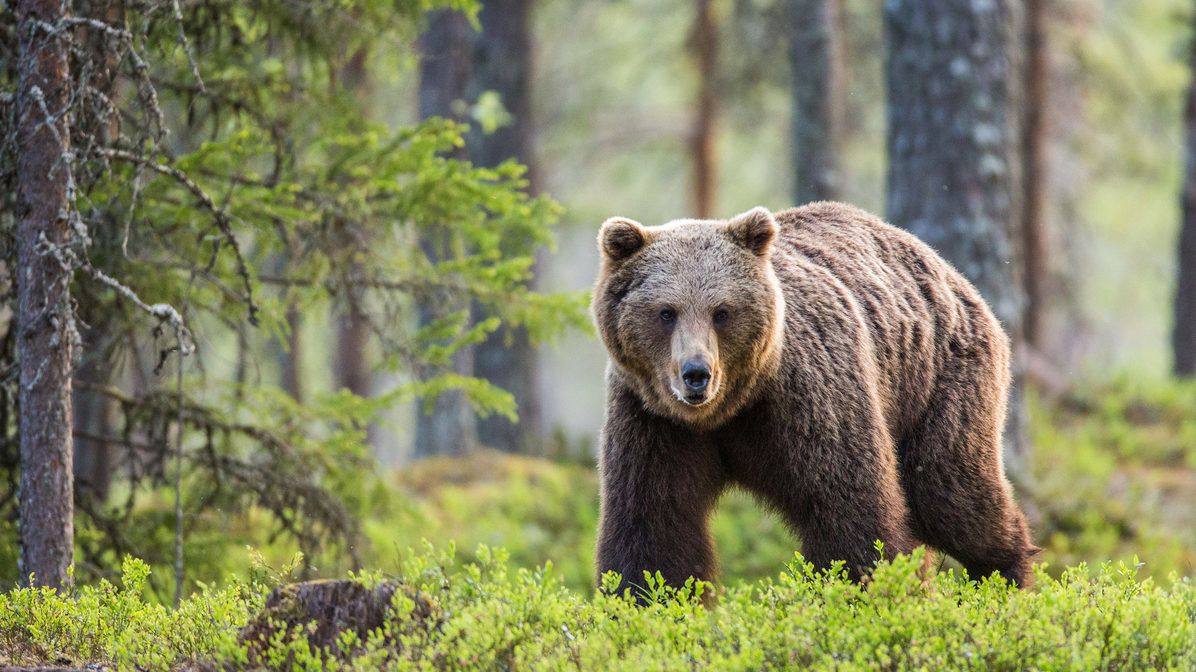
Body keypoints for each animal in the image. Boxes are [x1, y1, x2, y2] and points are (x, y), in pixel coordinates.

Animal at [590, 199, 1038, 595]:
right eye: (666, 312)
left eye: (722, 311)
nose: (697, 374)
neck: (729, 409)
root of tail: (947, 269)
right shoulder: (653, 421)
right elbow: (654, 528)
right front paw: (649, 600)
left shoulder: (809, 400)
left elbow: (851, 512)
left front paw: (862, 593)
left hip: (938, 382)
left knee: (952, 495)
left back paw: (1005, 579)